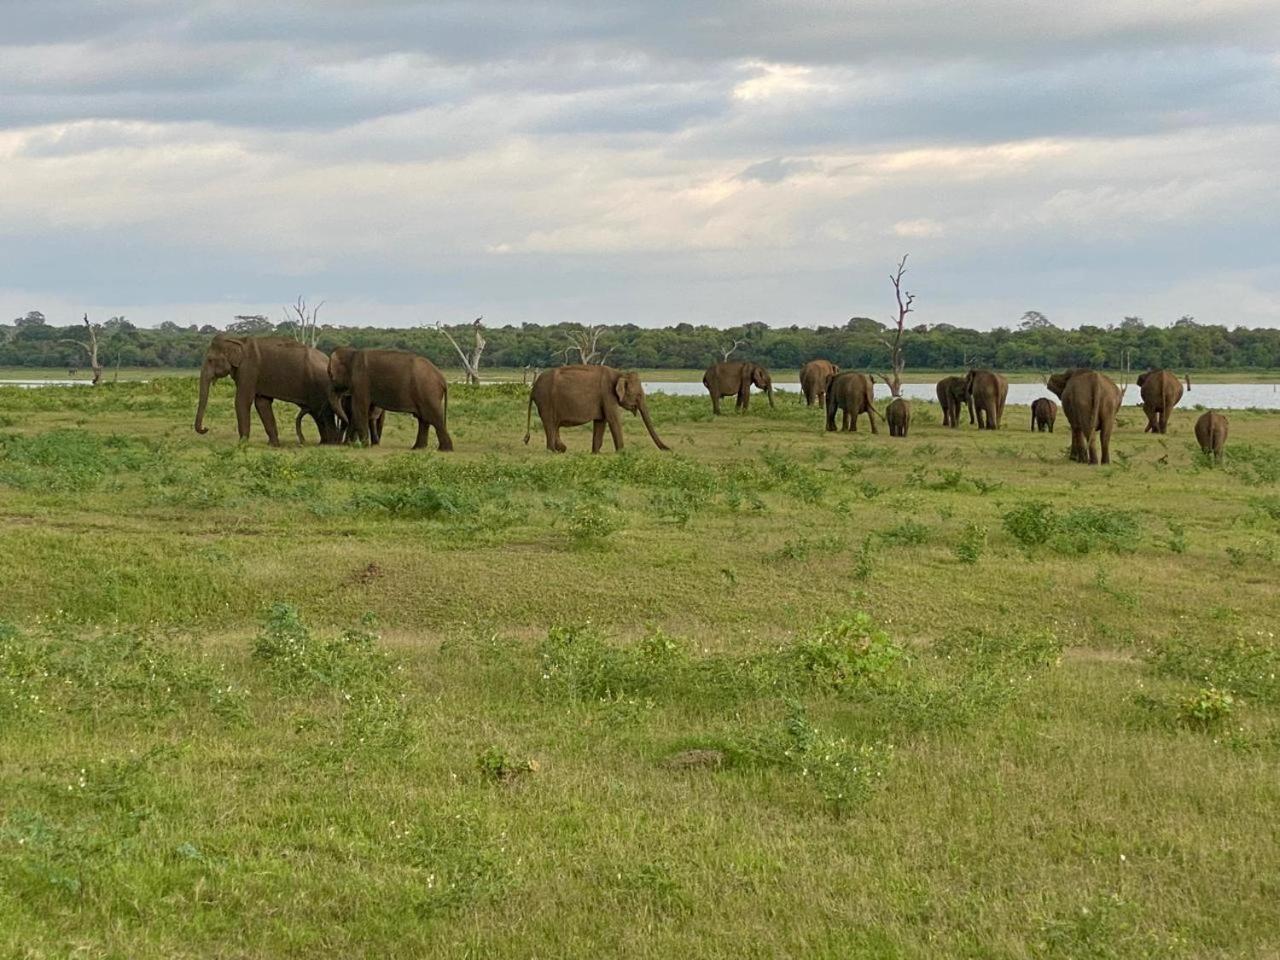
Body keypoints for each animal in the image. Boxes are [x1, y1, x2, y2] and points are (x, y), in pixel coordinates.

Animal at [192, 335, 337, 448]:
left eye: (210, 360)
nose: (205, 428)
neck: (237, 339)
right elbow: (262, 403)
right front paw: (273, 445)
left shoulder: (249, 369)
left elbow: (242, 401)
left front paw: (242, 444)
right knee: (317, 413)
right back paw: (324, 442)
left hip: (320, 386)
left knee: (323, 412)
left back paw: (330, 443)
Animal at [522, 363, 670, 455]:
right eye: (638, 395)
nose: (669, 449)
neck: (620, 373)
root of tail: (533, 388)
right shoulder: (607, 395)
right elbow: (613, 419)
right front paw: (622, 453)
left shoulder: (604, 400)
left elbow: (601, 422)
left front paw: (596, 453)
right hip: (546, 401)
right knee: (550, 424)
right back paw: (552, 451)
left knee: (554, 425)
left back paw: (561, 449)